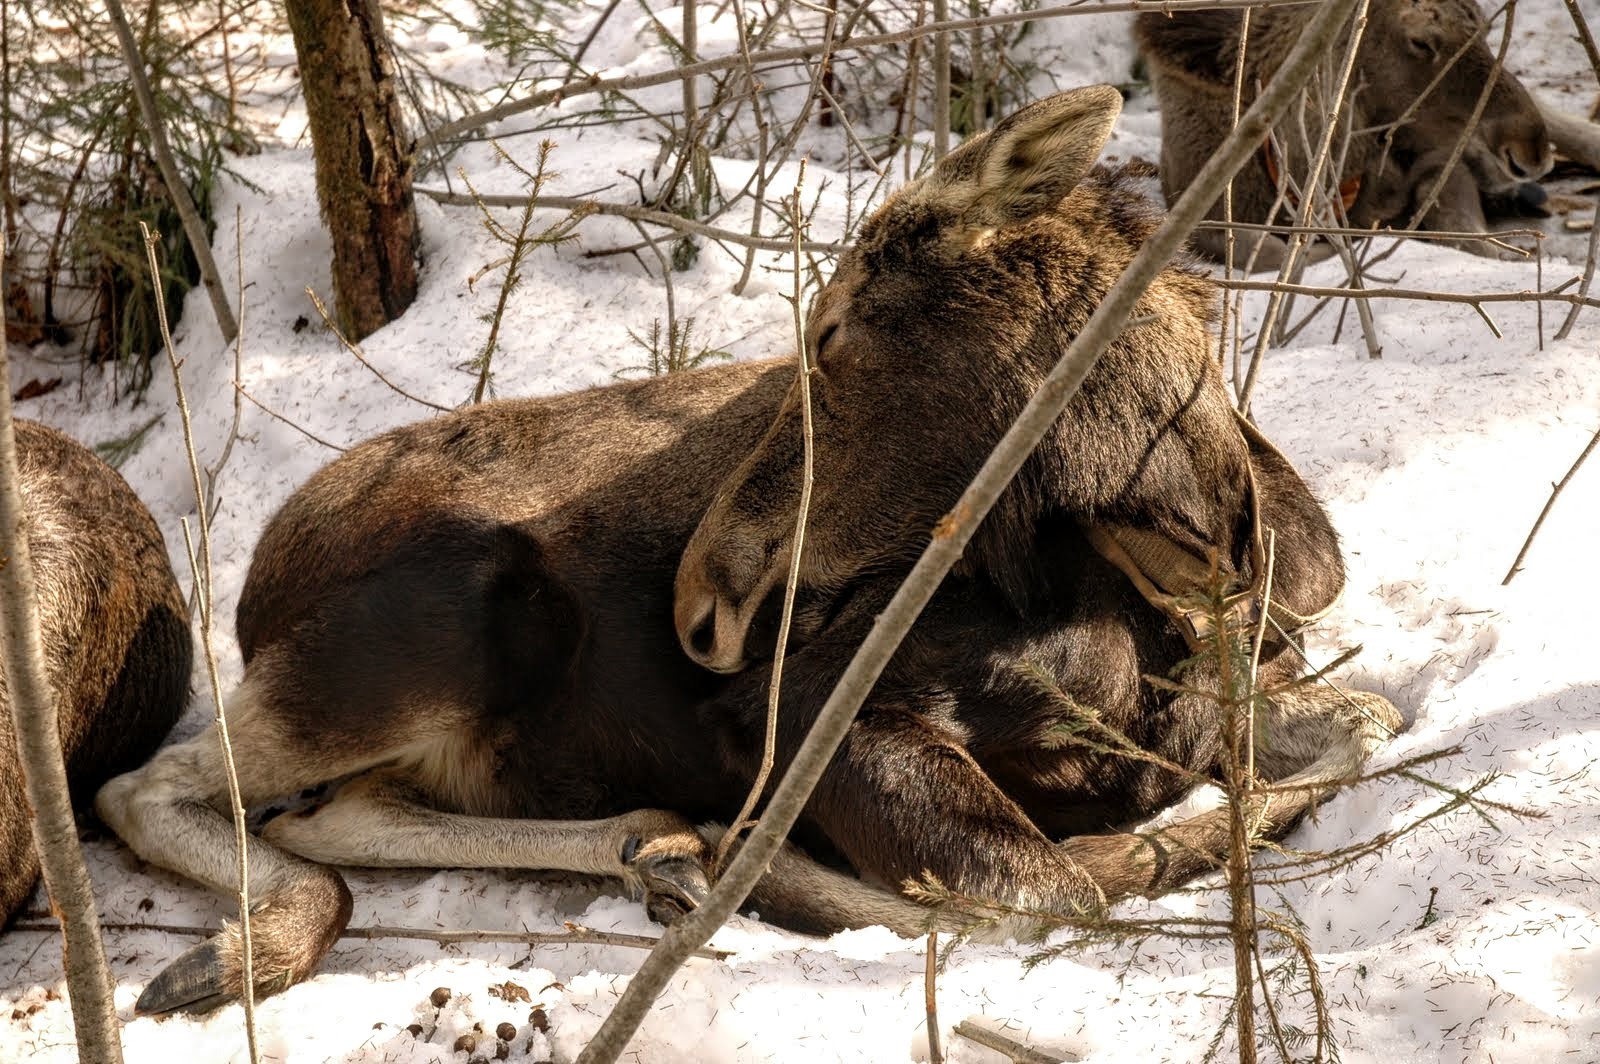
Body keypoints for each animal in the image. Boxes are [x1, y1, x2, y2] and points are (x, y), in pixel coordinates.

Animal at [100, 85, 1401, 1011]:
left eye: (831, 331)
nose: (704, 607)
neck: (1171, 585)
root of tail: (256, 598)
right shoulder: (816, 705)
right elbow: (1046, 883)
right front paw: (768, 866)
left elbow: (1359, 721)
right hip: (446, 626)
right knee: (154, 789)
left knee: (335, 809)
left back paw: (650, 845)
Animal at [1139, 0, 1600, 270]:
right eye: (1421, 41)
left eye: (1486, 31)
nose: (1531, 151)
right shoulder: (1194, 200)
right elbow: (1273, 250)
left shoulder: (1441, 159)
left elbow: (1464, 228)